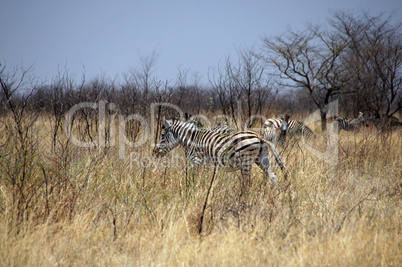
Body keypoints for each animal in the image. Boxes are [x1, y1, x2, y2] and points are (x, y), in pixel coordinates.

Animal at [152, 119, 288, 186]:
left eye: (162, 135)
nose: (155, 152)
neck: (192, 139)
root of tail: (260, 136)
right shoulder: (204, 164)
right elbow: (202, 179)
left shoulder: (196, 161)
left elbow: (192, 177)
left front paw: (190, 189)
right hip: (262, 159)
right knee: (273, 178)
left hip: (246, 162)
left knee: (247, 183)